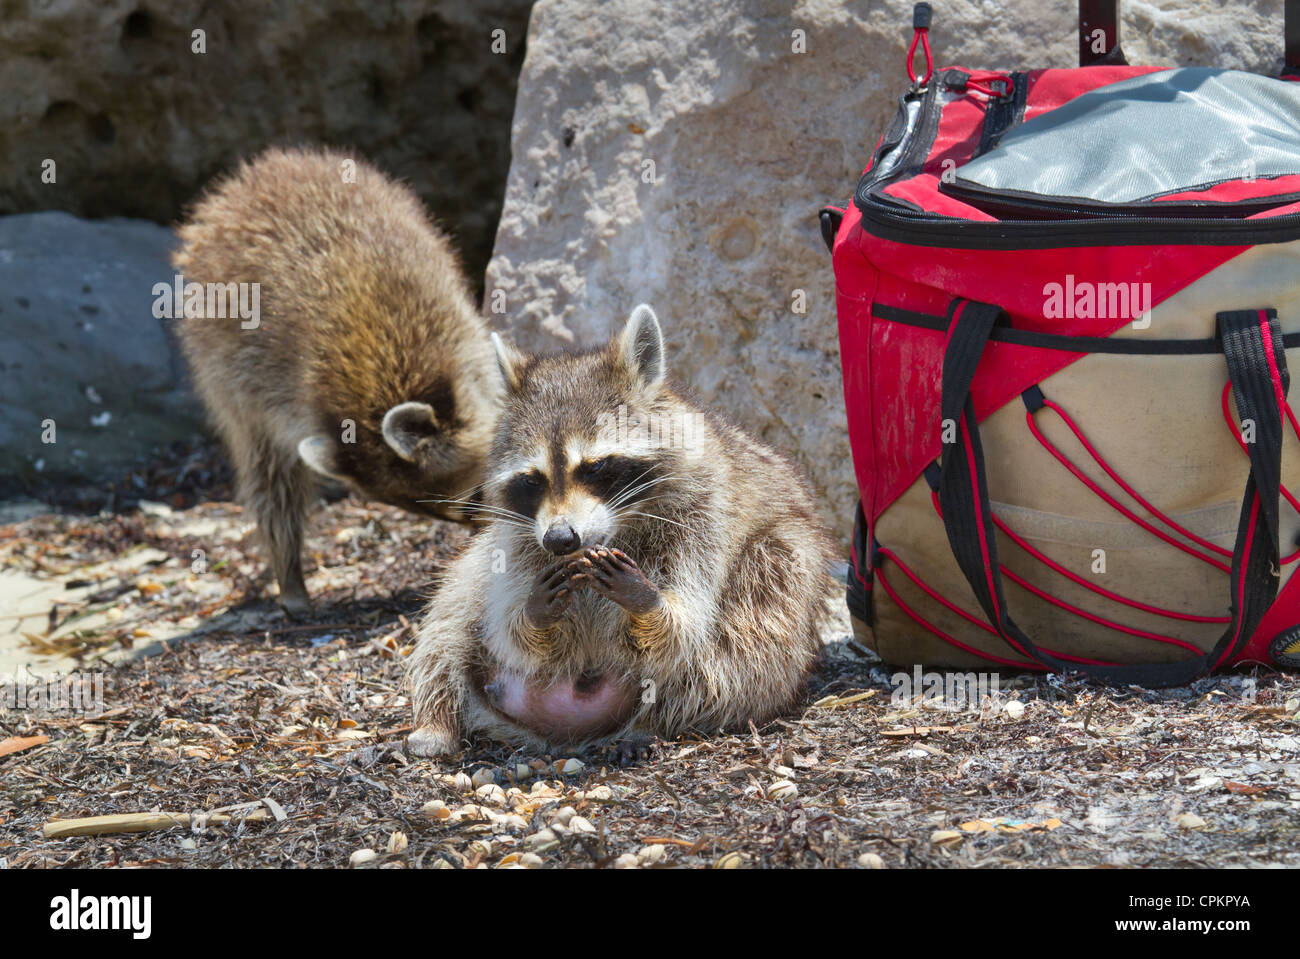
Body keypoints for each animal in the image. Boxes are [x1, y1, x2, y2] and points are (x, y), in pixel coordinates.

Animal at [172, 147, 501, 613]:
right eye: (465, 501)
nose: (478, 531)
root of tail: (255, 172)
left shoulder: (459, 327)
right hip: (225, 372)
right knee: (270, 475)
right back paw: (289, 575)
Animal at [406, 304, 836, 757]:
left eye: (594, 468)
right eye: (533, 479)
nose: (560, 540)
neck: (614, 528)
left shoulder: (704, 516)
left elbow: (686, 626)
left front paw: (649, 604)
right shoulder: (519, 537)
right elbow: (511, 629)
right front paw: (534, 615)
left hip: (782, 564)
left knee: (758, 621)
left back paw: (650, 722)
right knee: (452, 617)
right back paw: (436, 720)